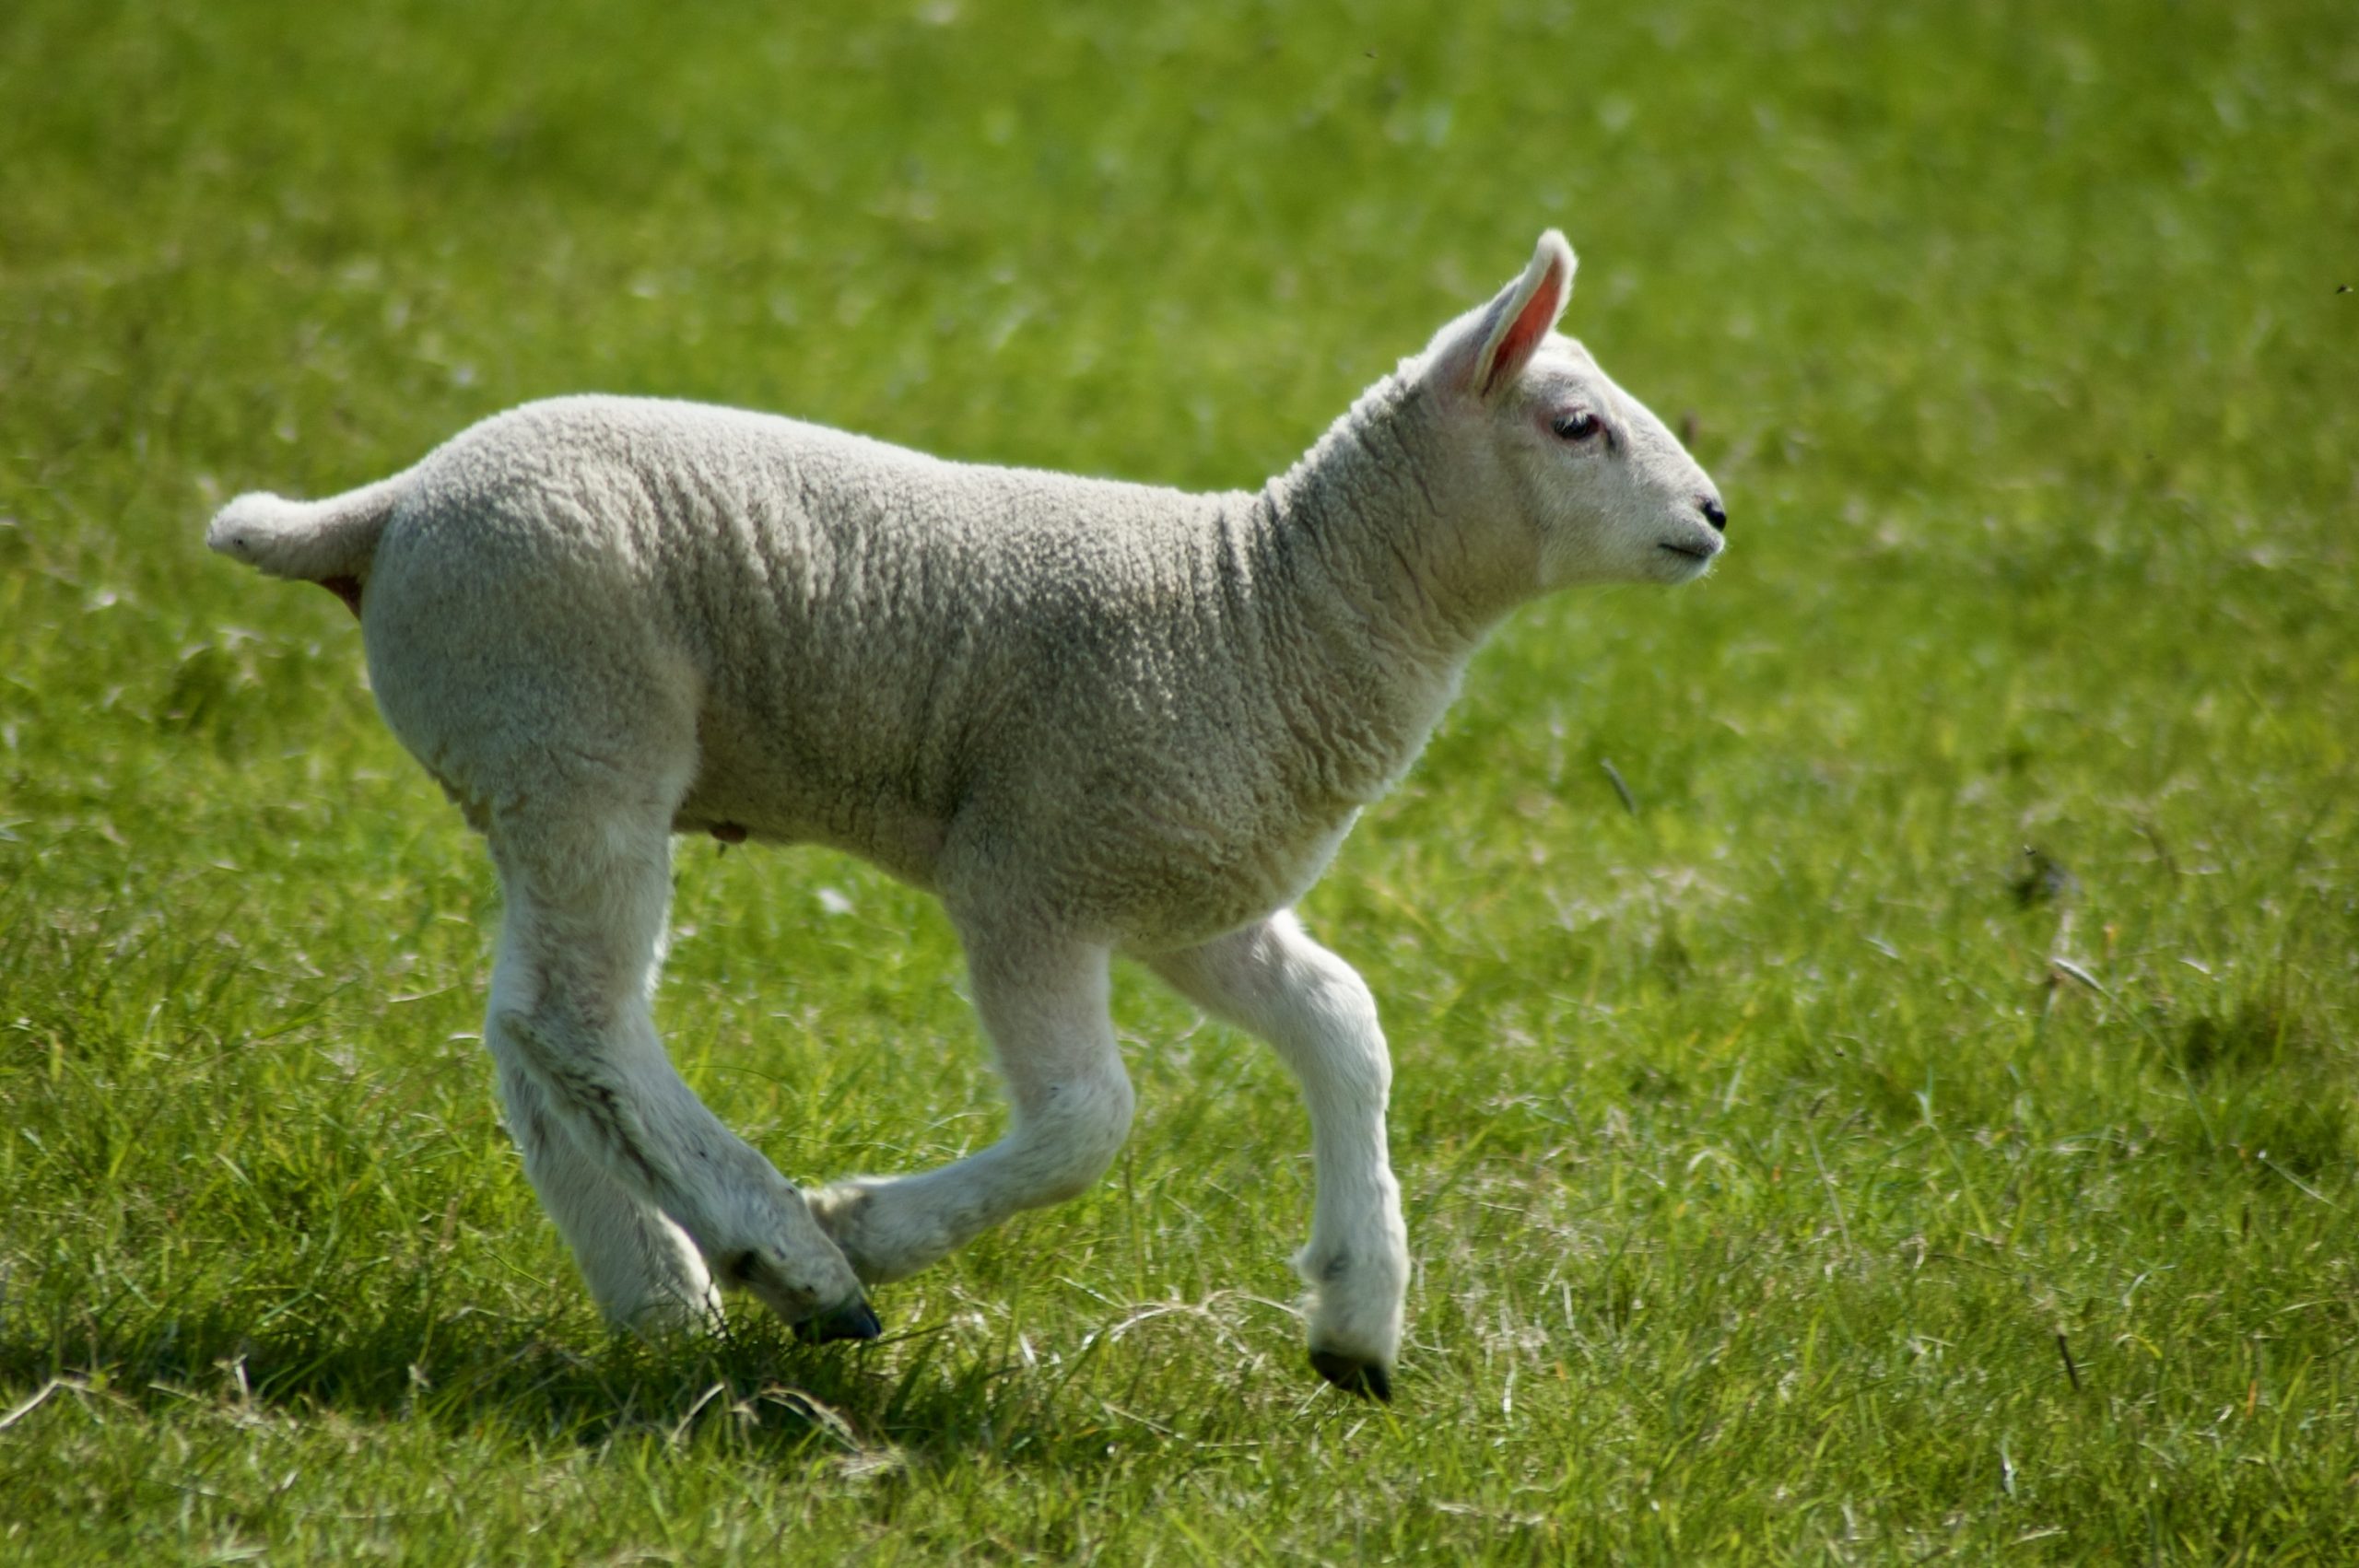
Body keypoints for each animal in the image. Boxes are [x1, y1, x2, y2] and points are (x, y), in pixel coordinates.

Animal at [206, 231, 1726, 1400]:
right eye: (1577, 425)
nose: (1713, 515)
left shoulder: (1193, 894)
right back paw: (790, 1259)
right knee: (576, 1020)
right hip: (578, 727)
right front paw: (870, 1227)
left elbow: (1345, 1023)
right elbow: (1090, 1119)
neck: (1263, 612)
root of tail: (384, 509)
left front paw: (1359, 1316)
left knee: (533, 1030)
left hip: (535, 759)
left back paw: (660, 1293)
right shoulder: (1029, 873)